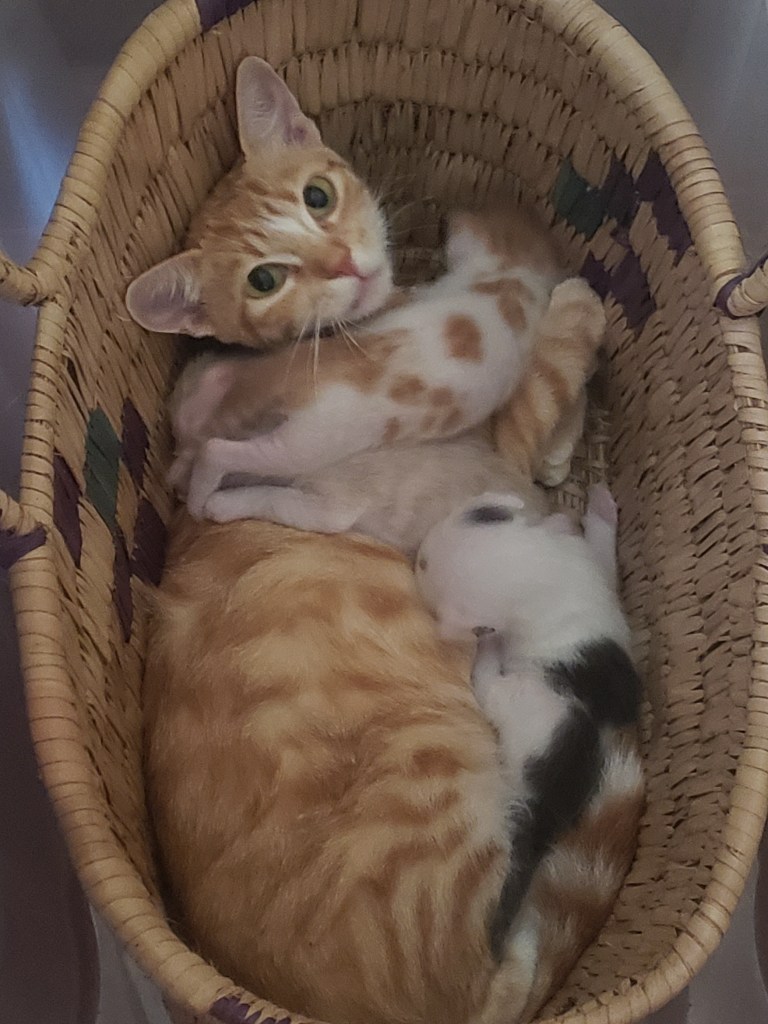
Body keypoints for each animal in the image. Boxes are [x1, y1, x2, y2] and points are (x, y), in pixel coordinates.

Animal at [415, 483, 644, 1013]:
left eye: (421, 567)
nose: (415, 553)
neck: (542, 571)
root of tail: (549, 811)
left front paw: (486, 644)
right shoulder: (590, 572)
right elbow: (601, 555)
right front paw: (596, 510)